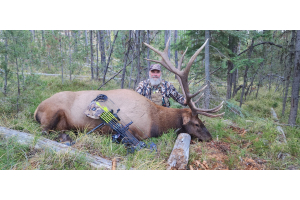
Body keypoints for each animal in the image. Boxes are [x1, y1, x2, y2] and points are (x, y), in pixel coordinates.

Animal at [34, 38, 224, 142]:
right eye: (197, 123)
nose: (210, 137)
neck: (156, 121)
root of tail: (36, 109)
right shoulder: (135, 130)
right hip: (52, 113)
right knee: (43, 131)